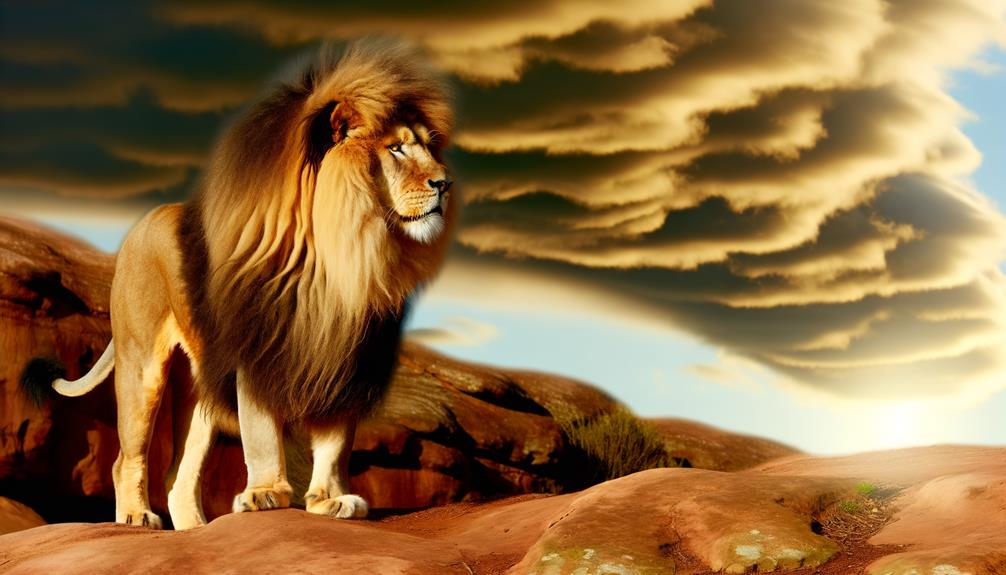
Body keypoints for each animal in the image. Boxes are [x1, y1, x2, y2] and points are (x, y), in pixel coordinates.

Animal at [24, 39, 455, 530]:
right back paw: (136, 517)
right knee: (125, 458)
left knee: (178, 477)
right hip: (141, 365)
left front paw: (330, 500)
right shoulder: (255, 350)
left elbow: (335, 443)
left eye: (428, 148)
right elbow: (262, 431)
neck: (340, 259)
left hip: (200, 389)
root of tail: (141, 225)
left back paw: (197, 531)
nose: (445, 183)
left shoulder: (349, 361)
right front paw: (267, 493)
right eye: (396, 149)